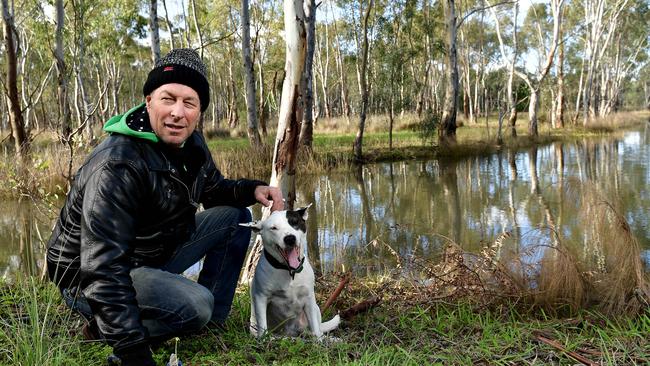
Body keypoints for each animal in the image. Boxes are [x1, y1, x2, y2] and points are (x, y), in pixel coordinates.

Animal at [238, 204, 340, 338]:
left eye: (295, 222)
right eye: (274, 228)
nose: (290, 238)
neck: (289, 271)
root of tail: (290, 334)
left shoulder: (309, 299)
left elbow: (316, 329)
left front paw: (319, 340)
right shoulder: (261, 298)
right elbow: (263, 325)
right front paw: (264, 339)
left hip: (315, 309)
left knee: (316, 329)